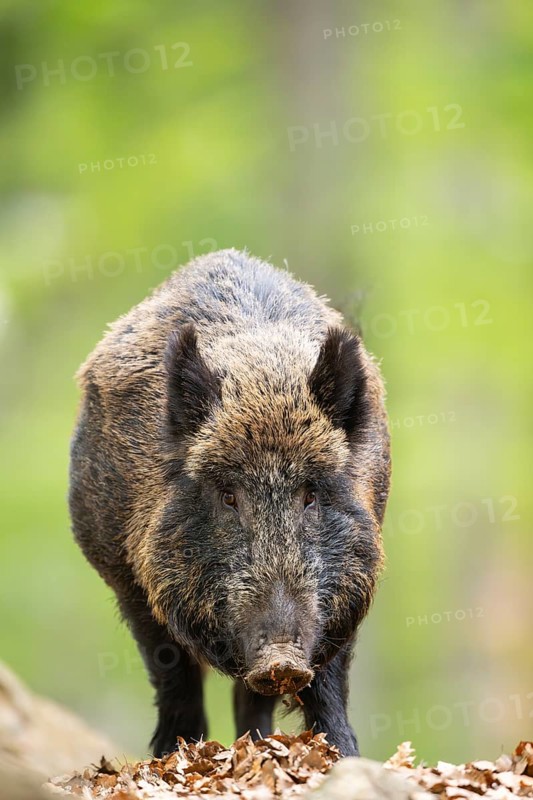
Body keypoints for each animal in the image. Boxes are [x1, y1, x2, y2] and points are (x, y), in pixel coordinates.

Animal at [69, 249, 390, 757]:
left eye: (312, 494)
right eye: (227, 496)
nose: (281, 658)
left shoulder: (350, 589)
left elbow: (328, 682)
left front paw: (345, 757)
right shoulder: (132, 581)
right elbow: (173, 673)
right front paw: (172, 755)